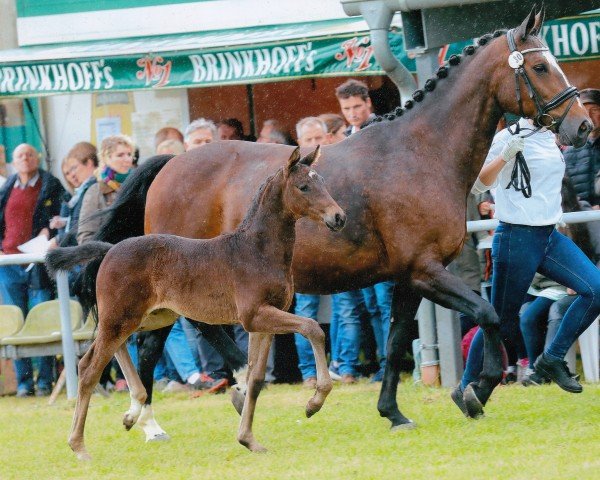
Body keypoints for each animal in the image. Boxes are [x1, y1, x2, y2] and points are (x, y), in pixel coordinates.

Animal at [45, 147, 346, 462]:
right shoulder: (255, 315)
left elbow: (255, 378)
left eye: (322, 181)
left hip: (148, 317)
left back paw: (133, 411)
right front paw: (314, 403)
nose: (338, 217)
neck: (256, 251)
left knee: (106, 351)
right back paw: (79, 446)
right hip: (121, 317)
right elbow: (312, 328)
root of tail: (110, 250)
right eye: (303, 186)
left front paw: (249, 440)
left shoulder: (265, 320)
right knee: (90, 369)